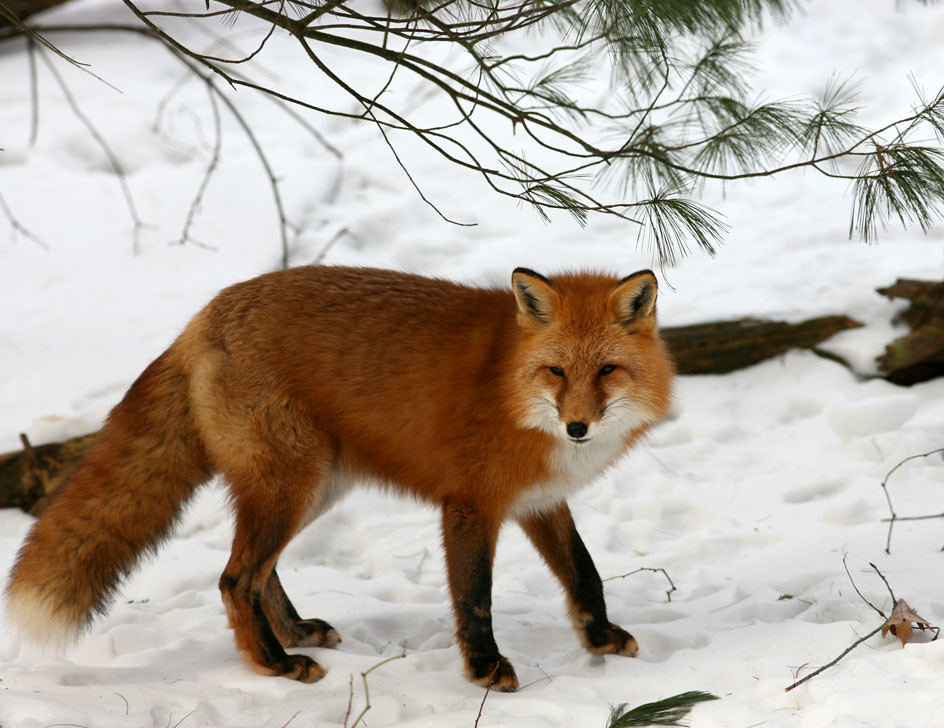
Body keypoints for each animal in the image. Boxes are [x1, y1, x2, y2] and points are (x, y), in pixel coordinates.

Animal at [5, 265, 673, 691]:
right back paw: (274, 665)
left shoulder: (538, 500)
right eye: (556, 371)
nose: (578, 427)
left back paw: (294, 633)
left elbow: (584, 573)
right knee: (234, 579)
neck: (511, 386)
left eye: (607, 370)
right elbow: (475, 598)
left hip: (312, 488)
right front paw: (484, 669)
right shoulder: (470, 504)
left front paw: (601, 638)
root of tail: (204, 315)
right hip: (292, 484)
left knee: (259, 572)